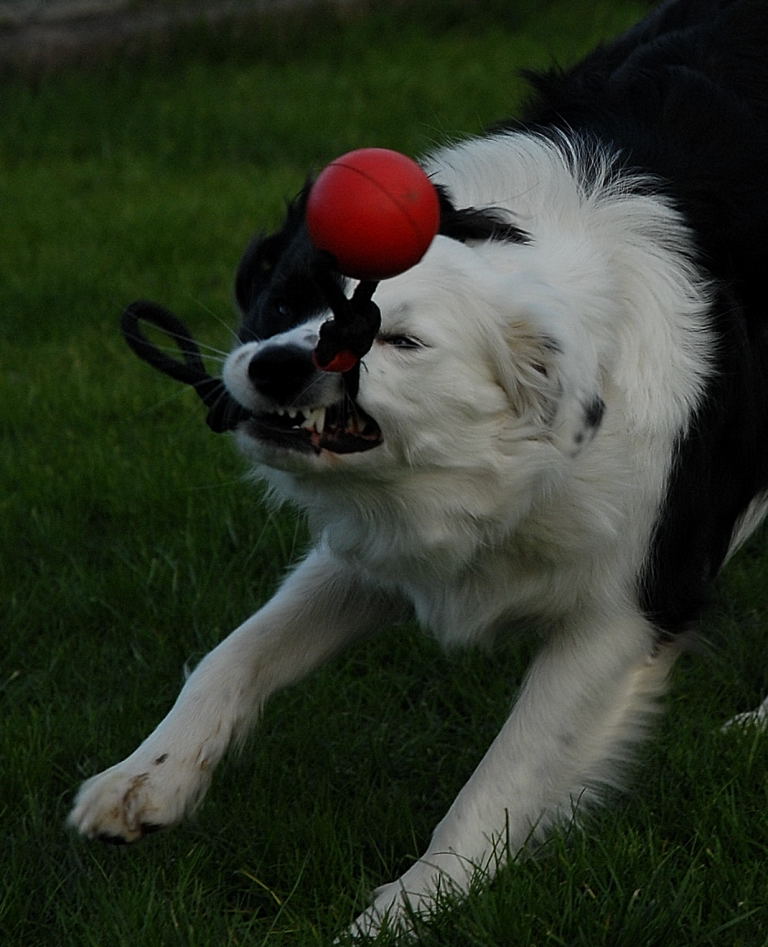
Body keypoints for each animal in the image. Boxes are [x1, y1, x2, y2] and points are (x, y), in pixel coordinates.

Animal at [69, 0, 768, 932]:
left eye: (400, 341)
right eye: (283, 300)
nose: (274, 367)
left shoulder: (634, 598)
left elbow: (505, 772)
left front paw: (410, 904)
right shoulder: (390, 535)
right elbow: (239, 648)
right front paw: (147, 777)